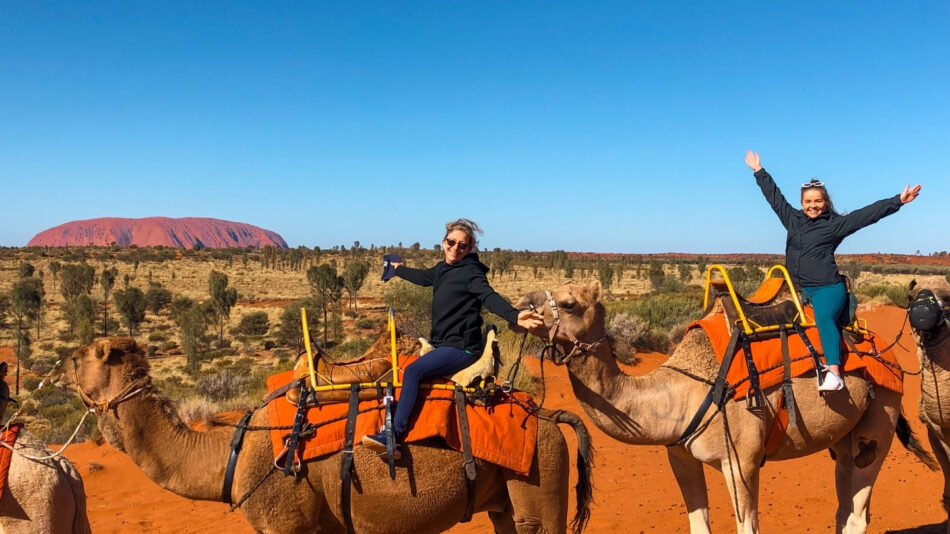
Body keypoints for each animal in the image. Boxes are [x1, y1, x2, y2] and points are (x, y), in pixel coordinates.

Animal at [54, 340, 596, 534]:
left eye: (81, 357)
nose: (56, 370)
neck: (231, 454)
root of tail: (547, 414)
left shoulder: (286, 523)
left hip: (539, 478)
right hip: (506, 500)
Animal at [516, 280, 932, 534]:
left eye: (569, 303)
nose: (522, 304)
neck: (682, 392)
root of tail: (885, 348)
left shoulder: (741, 460)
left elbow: (747, 525)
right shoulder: (680, 455)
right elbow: (699, 523)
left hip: (880, 416)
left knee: (859, 505)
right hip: (844, 436)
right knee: (844, 504)